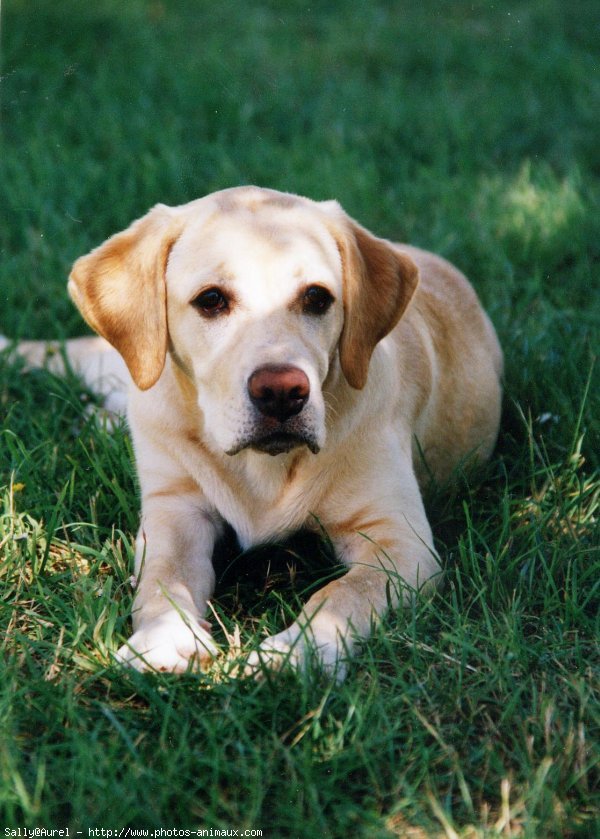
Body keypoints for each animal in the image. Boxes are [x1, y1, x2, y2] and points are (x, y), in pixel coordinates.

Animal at [3, 189, 502, 676]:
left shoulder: (400, 543)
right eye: (211, 300)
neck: (261, 465)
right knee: (68, 352)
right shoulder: (173, 511)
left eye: (317, 298)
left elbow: (340, 594)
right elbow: (165, 578)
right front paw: (163, 639)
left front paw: (296, 651)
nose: (282, 392)